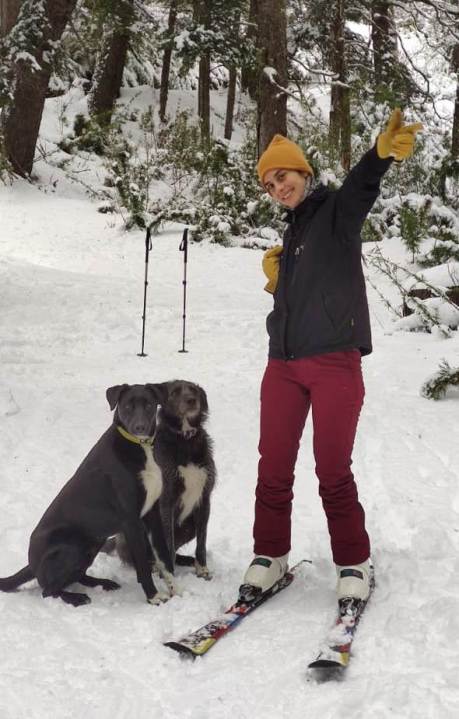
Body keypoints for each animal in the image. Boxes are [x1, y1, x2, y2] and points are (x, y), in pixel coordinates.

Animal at [0, 384, 174, 607]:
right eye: (127, 406)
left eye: (149, 405)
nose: (140, 427)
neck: (140, 446)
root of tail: (32, 564)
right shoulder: (131, 522)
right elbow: (143, 565)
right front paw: (154, 597)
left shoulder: (152, 513)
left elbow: (164, 557)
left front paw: (178, 591)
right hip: (72, 545)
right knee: (48, 590)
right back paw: (76, 598)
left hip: (93, 543)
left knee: (76, 576)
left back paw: (102, 583)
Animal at [110, 380, 216, 582]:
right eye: (175, 392)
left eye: (193, 390)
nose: (192, 400)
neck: (184, 438)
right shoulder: (166, 502)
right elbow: (168, 542)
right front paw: (169, 573)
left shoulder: (205, 499)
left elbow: (202, 540)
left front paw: (202, 569)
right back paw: (154, 566)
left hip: (189, 525)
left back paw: (185, 560)